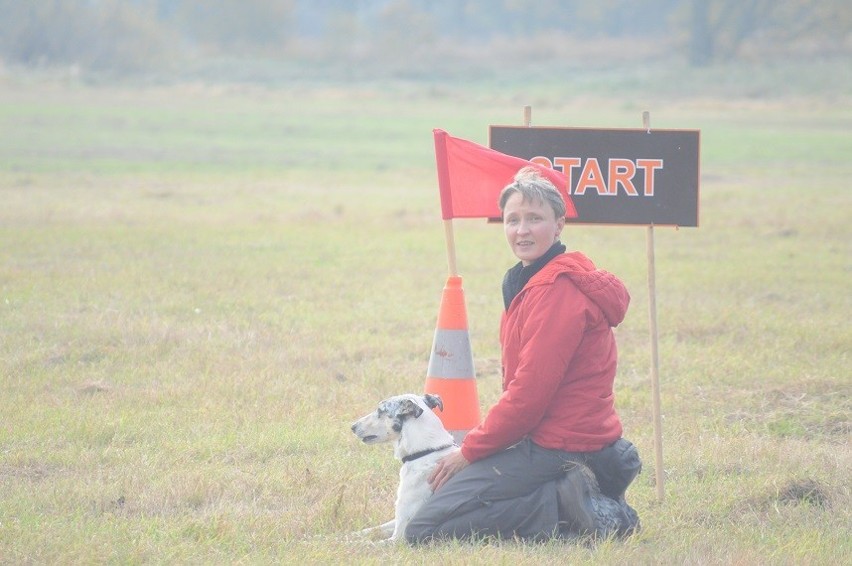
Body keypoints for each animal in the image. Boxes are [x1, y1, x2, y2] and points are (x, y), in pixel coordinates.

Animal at [352, 392, 460, 544]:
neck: (424, 452)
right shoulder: (397, 520)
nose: (353, 426)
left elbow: (365, 544)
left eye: (380, 410)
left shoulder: (399, 537)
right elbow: (370, 530)